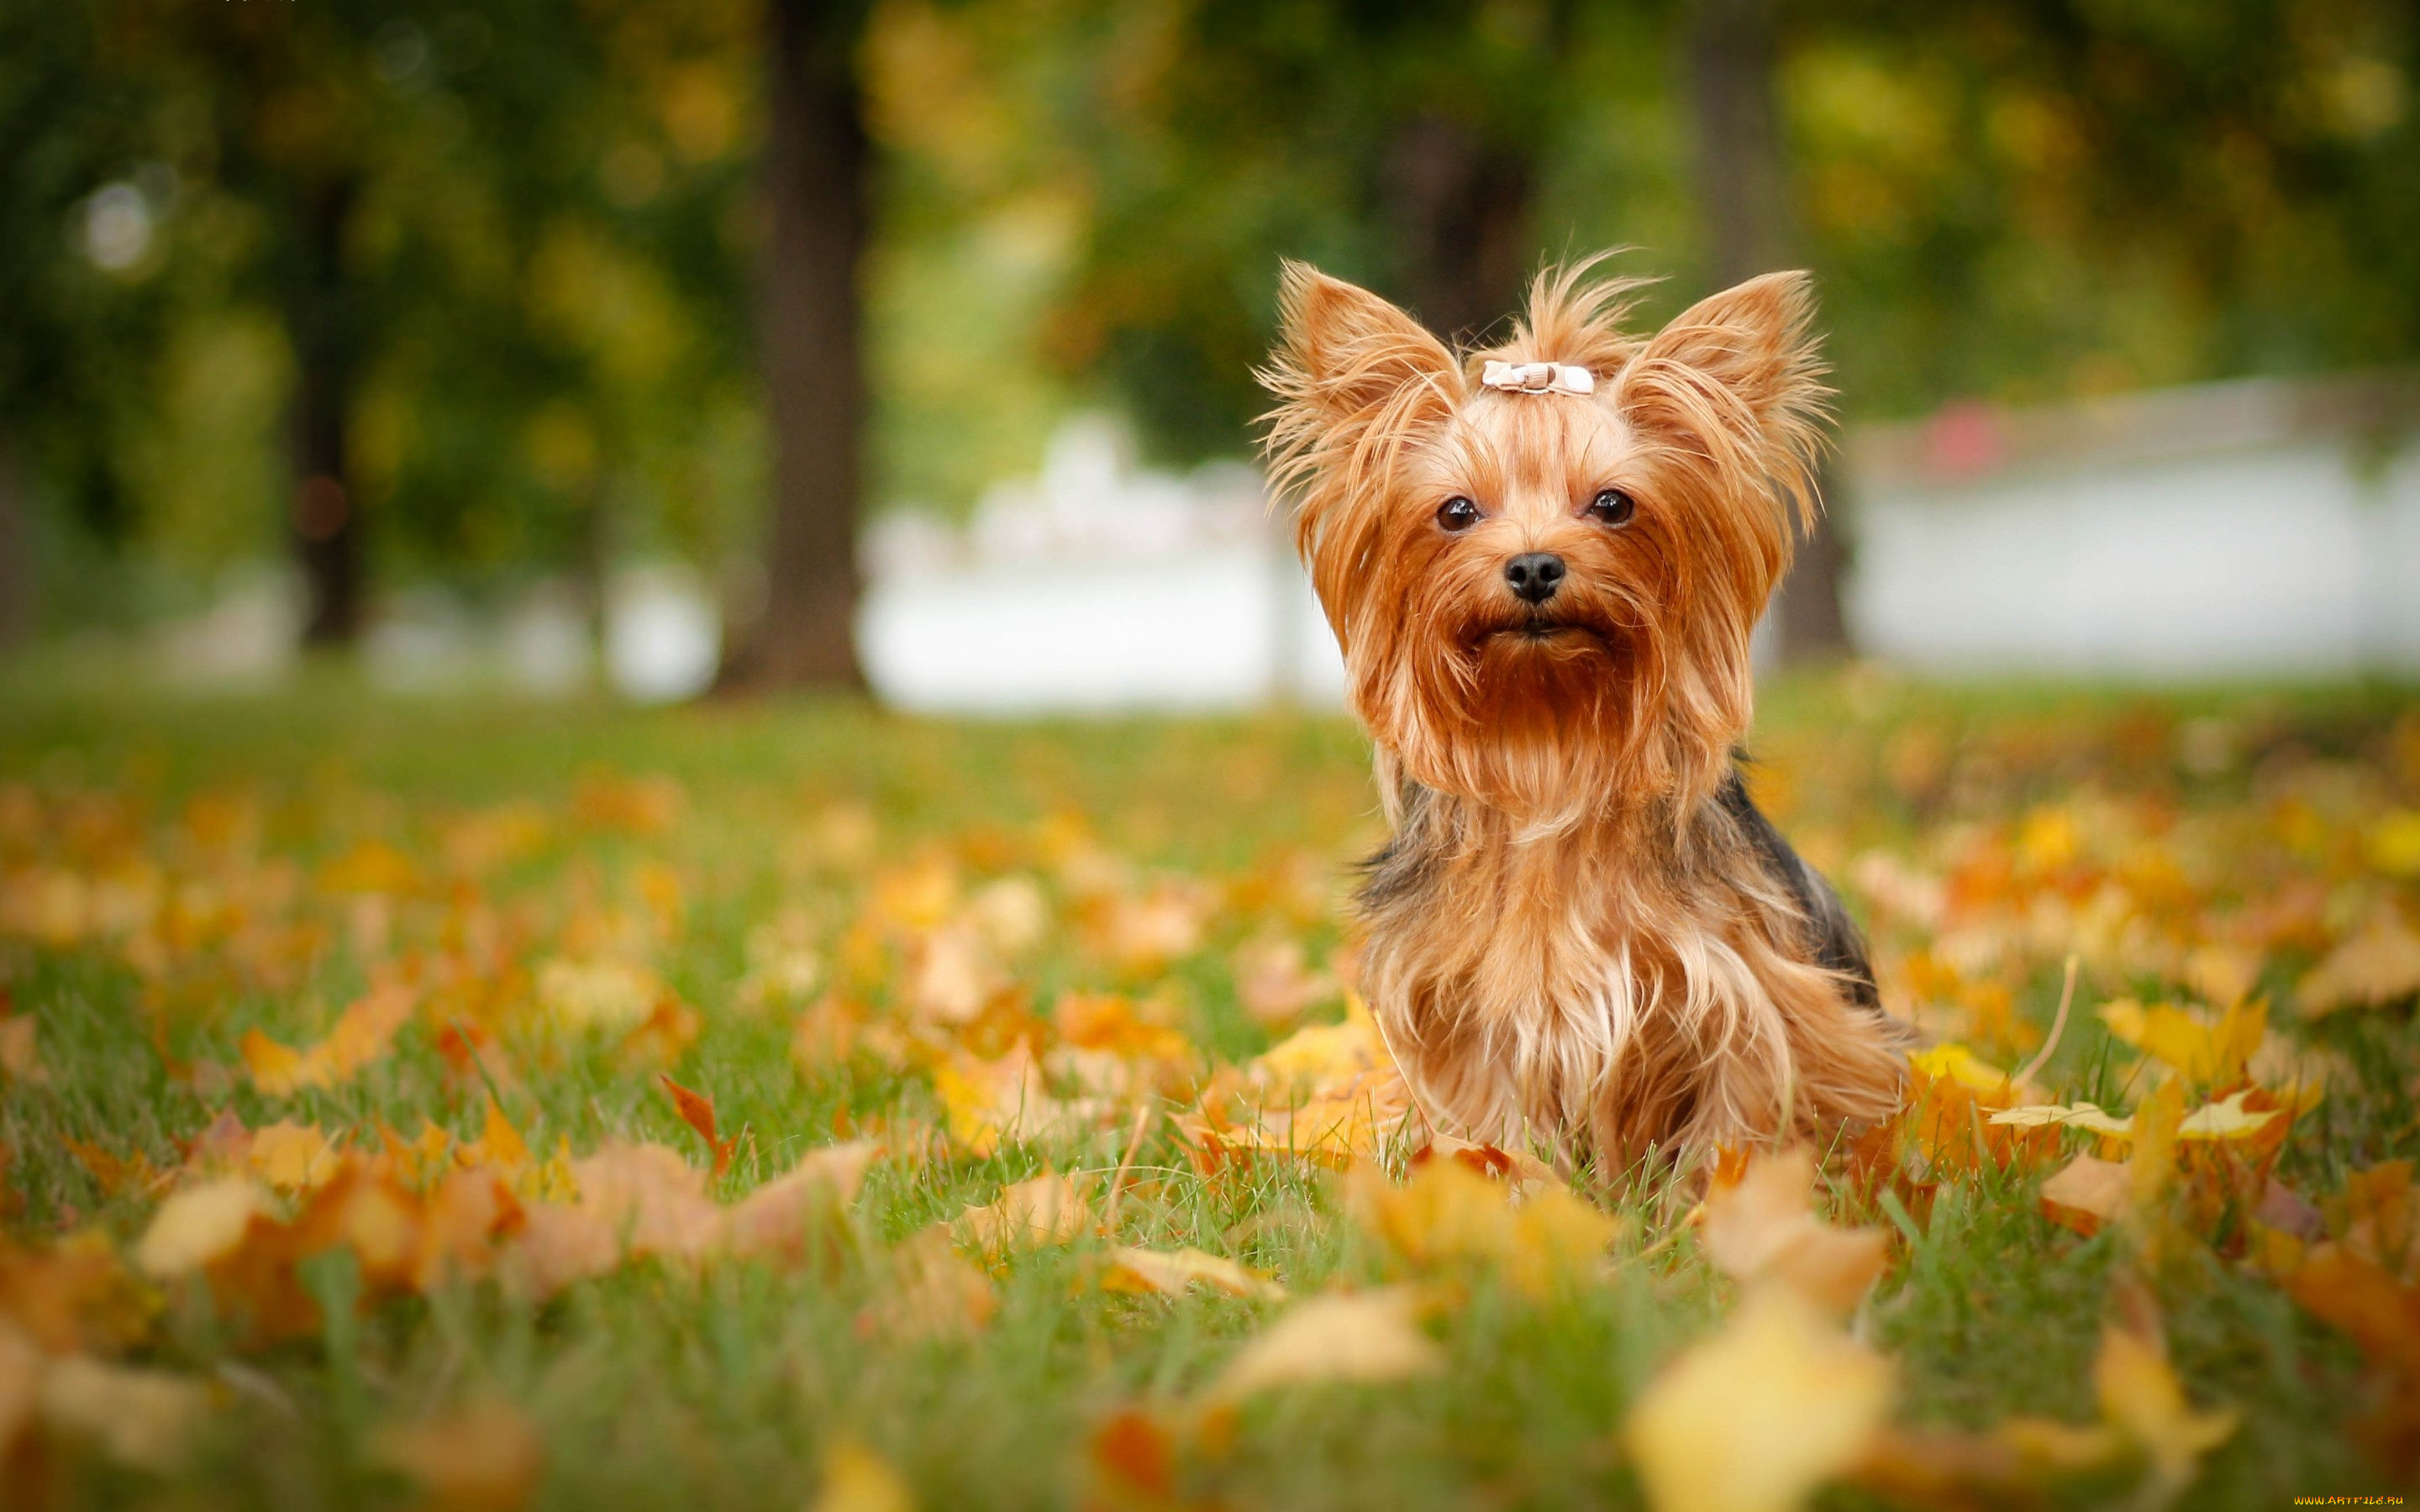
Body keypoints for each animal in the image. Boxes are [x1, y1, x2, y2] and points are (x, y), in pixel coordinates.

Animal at [1268, 256, 1907, 1166]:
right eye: (1456, 511)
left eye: (1612, 505)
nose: (1535, 566)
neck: (1550, 745)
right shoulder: (1465, 1015)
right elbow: (1493, 1121)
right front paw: (1510, 1183)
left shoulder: (1754, 996)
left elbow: (1745, 1112)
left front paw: (1722, 1201)